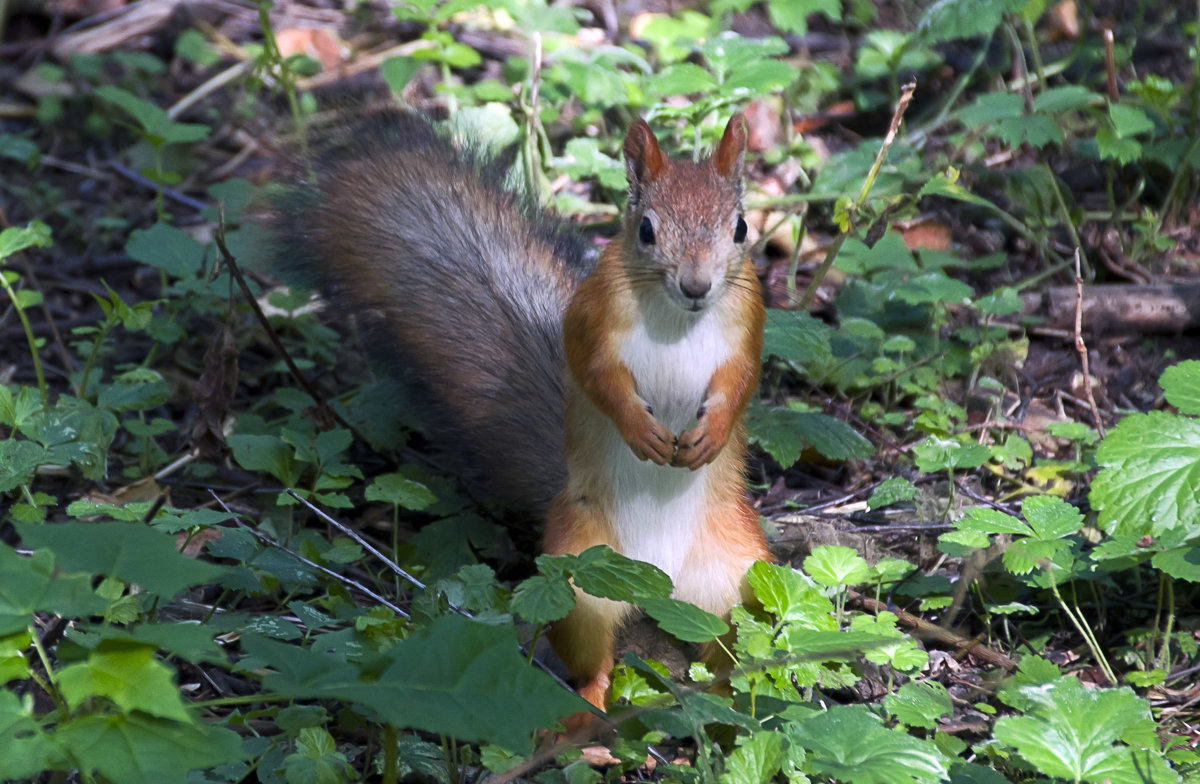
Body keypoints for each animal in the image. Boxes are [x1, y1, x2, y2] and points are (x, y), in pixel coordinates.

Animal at [272, 109, 768, 715]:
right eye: (646, 229)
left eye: (740, 228)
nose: (696, 286)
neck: (679, 319)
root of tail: (662, 583)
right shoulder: (592, 320)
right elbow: (597, 376)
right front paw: (640, 431)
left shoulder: (748, 323)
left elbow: (740, 381)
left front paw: (711, 434)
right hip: (579, 578)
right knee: (591, 658)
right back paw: (586, 712)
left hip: (738, 575)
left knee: (729, 646)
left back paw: (729, 700)